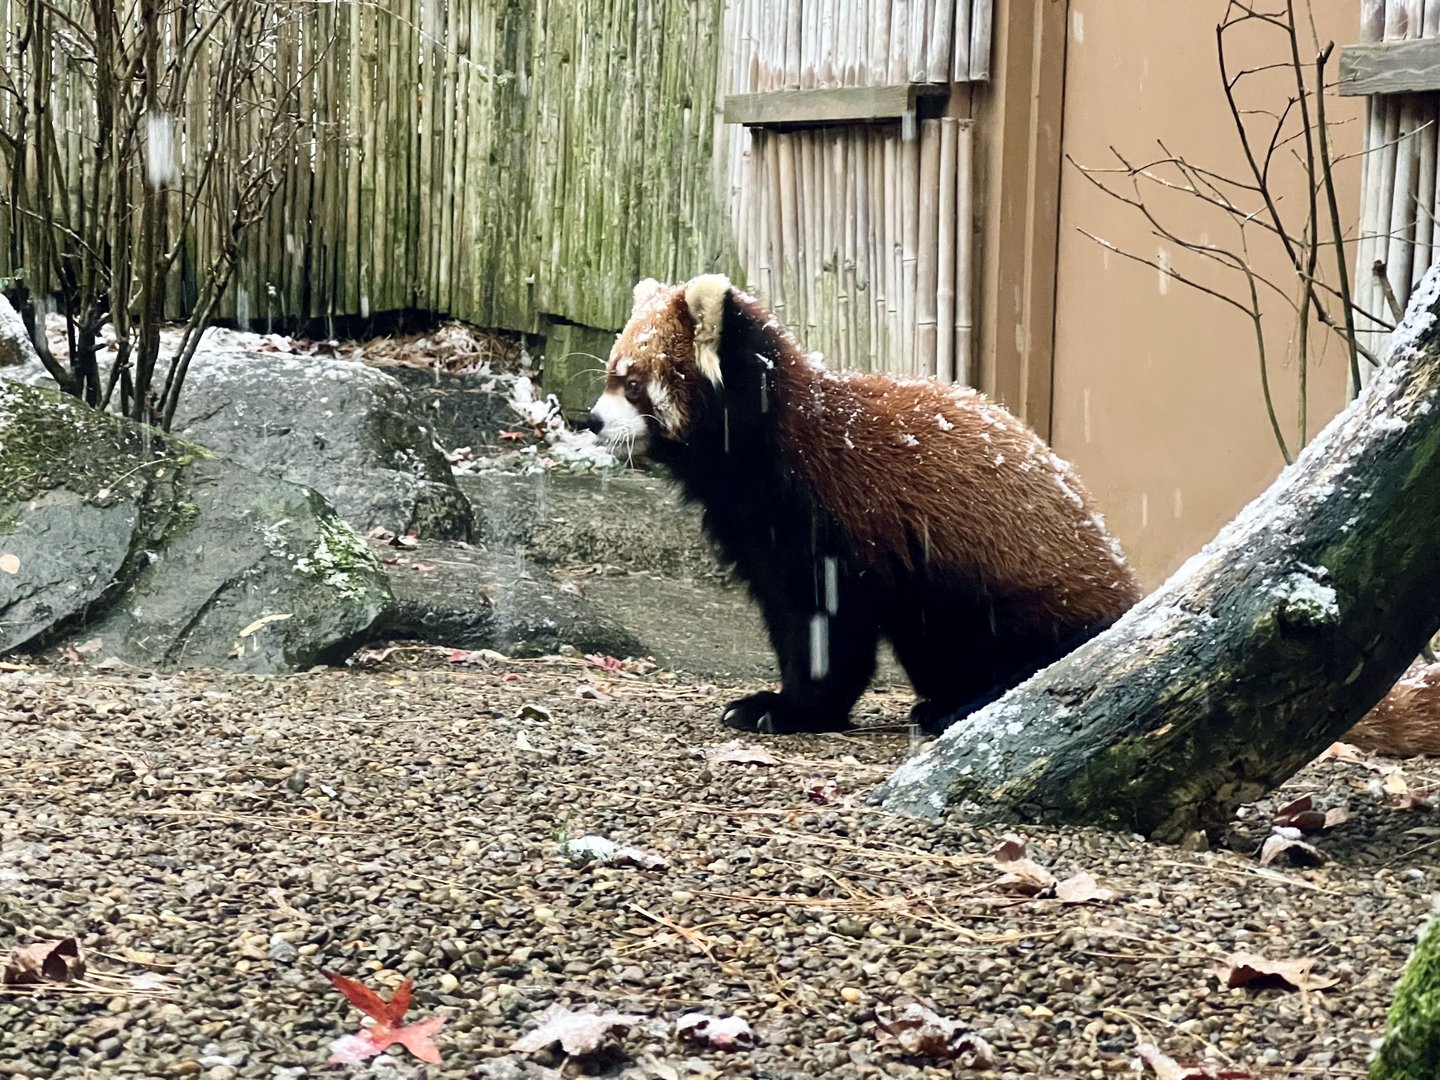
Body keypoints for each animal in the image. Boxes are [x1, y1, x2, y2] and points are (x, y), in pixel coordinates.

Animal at [587, 273, 1143, 735]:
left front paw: (789, 709)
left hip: (1017, 595)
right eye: (610, 377)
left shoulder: (830, 520)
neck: (767, 441)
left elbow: (825, 627)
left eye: (633, 384)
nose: (592, 421)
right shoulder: (753, 528)